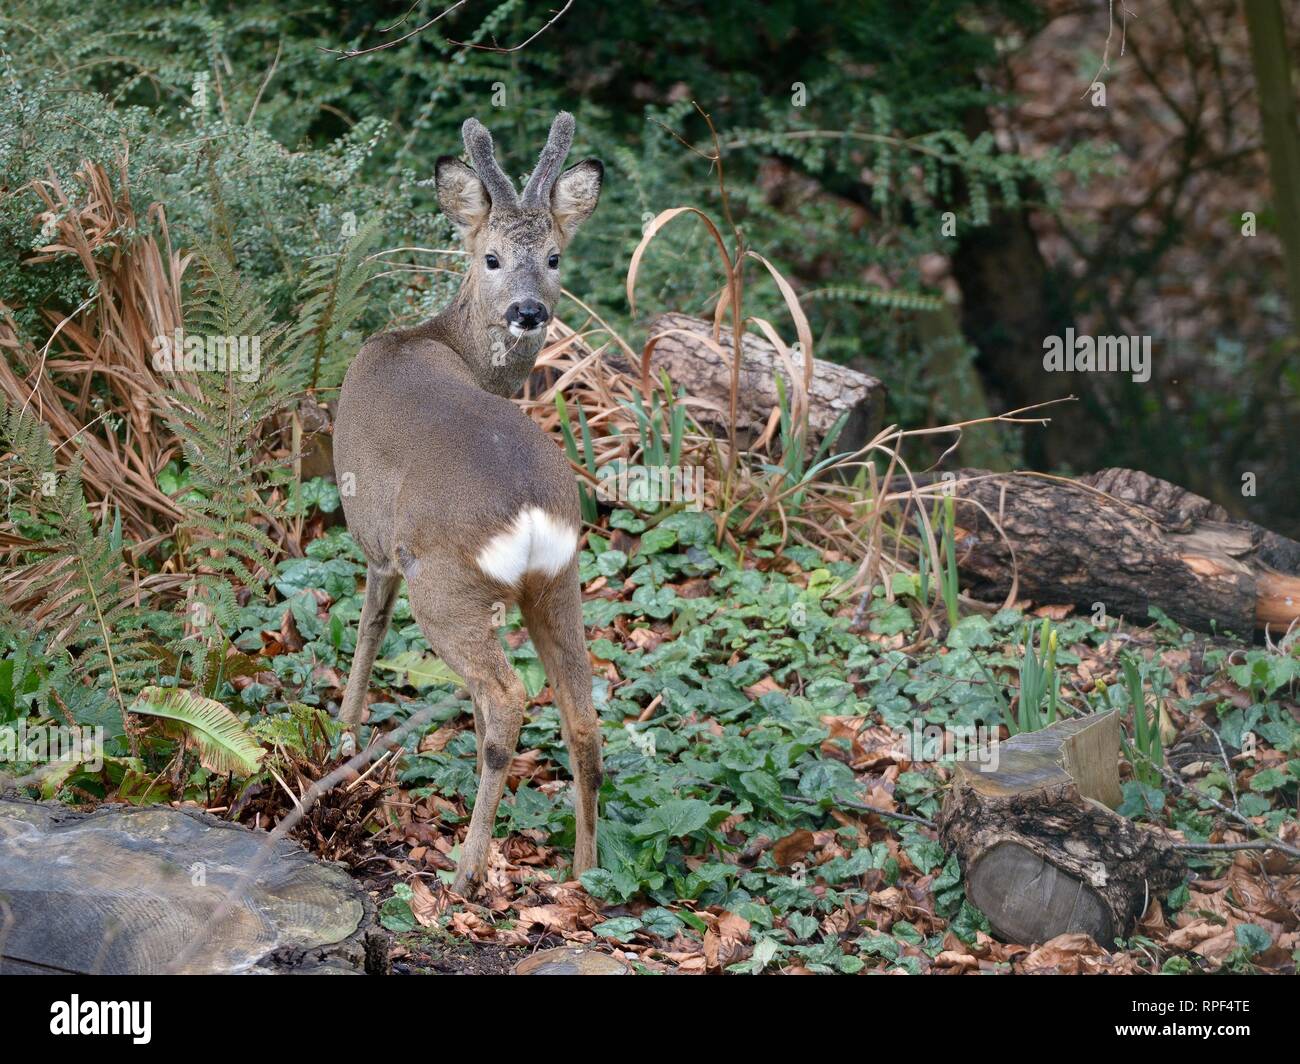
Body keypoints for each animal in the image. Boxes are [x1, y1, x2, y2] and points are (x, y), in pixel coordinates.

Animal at [332, 113, 600, 894]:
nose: (528, 310)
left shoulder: (378, 542)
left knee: (506, 699)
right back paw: (586, 874)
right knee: (581, 712)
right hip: (559, 582)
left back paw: (465, 870)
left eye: (554, 257)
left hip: (446, 584)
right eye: (491, 257)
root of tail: (534, 515)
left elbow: (368, 628)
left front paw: (344, 732)